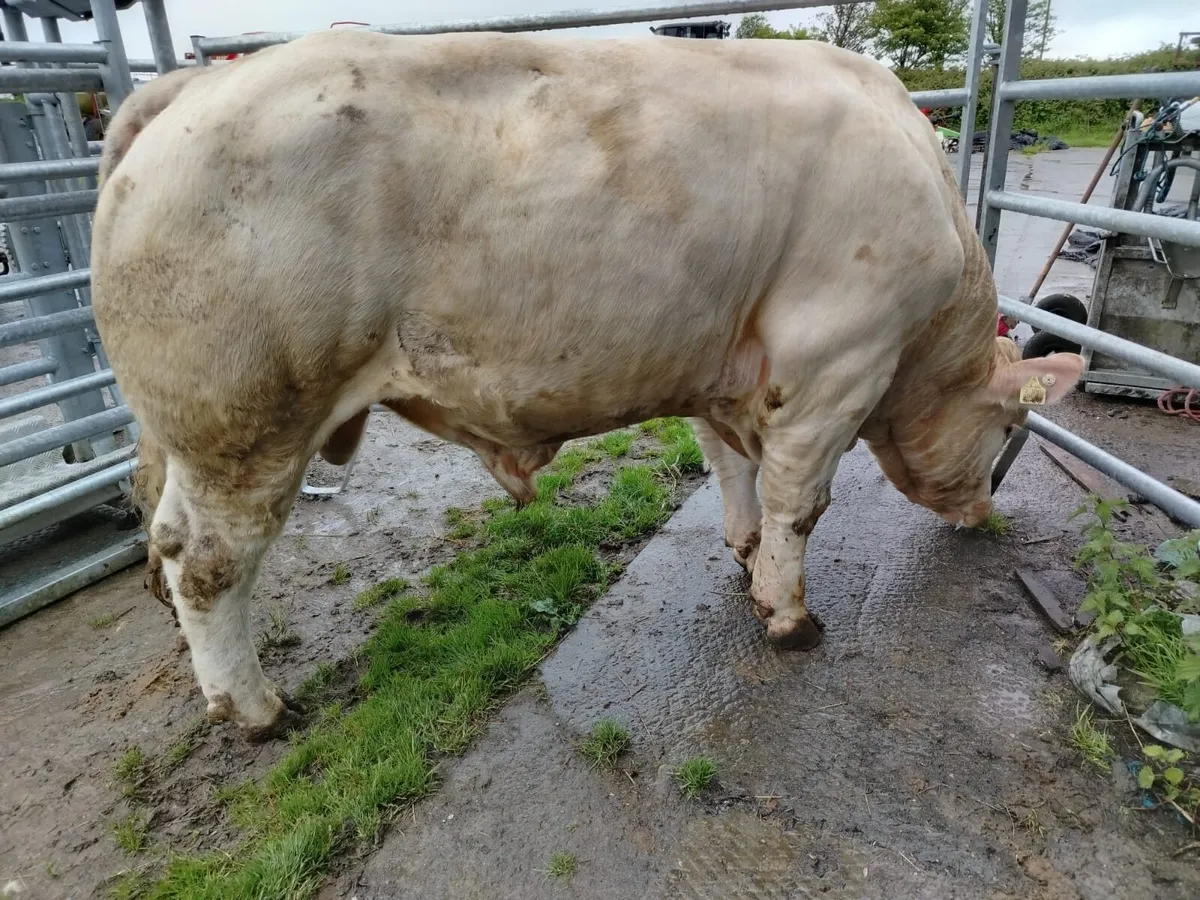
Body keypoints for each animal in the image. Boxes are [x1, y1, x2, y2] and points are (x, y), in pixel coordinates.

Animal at [90, 30, 1083, 741]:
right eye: (1008, 431)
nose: (983, 512)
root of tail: (191, 86)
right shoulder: (836, 366)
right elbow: (800, 502)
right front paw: (789, 615)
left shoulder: (726, 370)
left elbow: (732, 470)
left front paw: (743, 555)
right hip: (246, 416)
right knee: (206, 561)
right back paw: (256, 710)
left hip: (191, 429)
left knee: (163, 534)